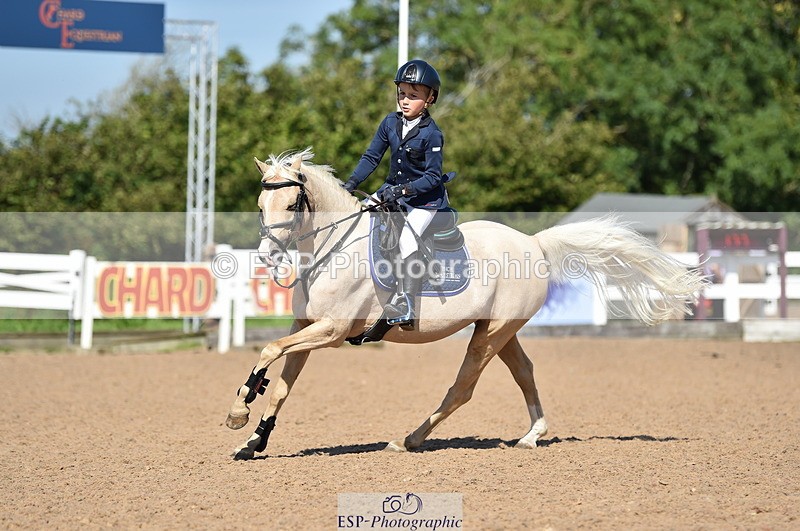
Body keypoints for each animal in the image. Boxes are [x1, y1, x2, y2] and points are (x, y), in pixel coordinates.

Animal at [225, 148, 706, 460]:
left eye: (292, 203)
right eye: (260, 204)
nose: (267, 258)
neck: (333, 246)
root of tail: (533, 242)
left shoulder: (332, 330)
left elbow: (268, 351)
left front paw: (238, 410)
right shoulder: (305, 327)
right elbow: (282, 382)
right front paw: (254, 440)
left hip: (491, 334)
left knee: (463, 388)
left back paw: (409, 440)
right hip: (499, 330)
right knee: (524, 371)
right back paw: (531, 436)